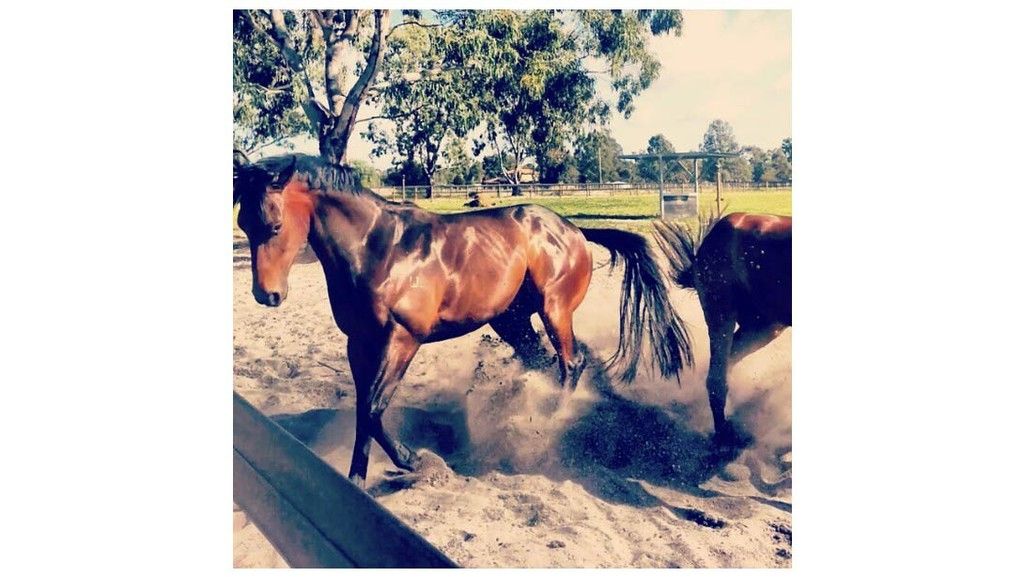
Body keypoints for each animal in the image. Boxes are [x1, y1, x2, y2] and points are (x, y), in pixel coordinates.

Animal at [234, 153, 694, 488]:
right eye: (244, 223)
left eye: (274, 225)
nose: (267, 295)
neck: (378, 249)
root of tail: (574, 230)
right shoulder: (359, 342)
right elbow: (364, 409)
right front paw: (356, 482)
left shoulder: (401, 339)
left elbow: (376, 408)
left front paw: (417, 461)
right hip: (511, 322)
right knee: (549, 361)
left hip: (555, 311)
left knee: (571, 363)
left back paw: (550, 423)